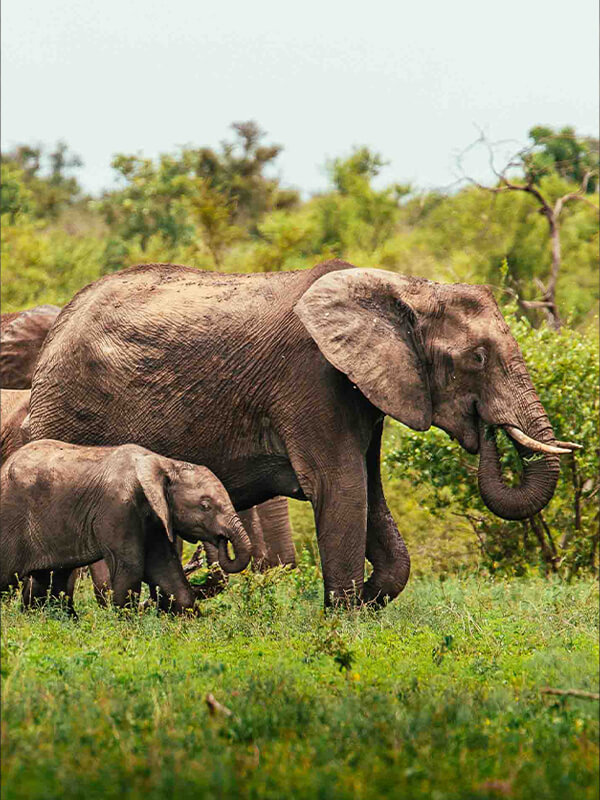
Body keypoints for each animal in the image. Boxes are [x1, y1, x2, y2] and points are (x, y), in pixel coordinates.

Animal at [0, 440, 251, 616]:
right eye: (205, 506)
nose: (222, 541)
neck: (164, 464)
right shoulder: (118, 508)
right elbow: (131, 567)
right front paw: (126, 625)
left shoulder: (155, 518)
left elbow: (165, 569)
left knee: (50, 579)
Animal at [30, 260, 580, 604]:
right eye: (478, 358)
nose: (487, 430)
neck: (405, 288)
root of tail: (61, 322)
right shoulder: (313, 380)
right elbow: (343, 490)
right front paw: (344, 620)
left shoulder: (366, 391)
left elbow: (370, 496)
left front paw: (370, 598)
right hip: (68, 410)